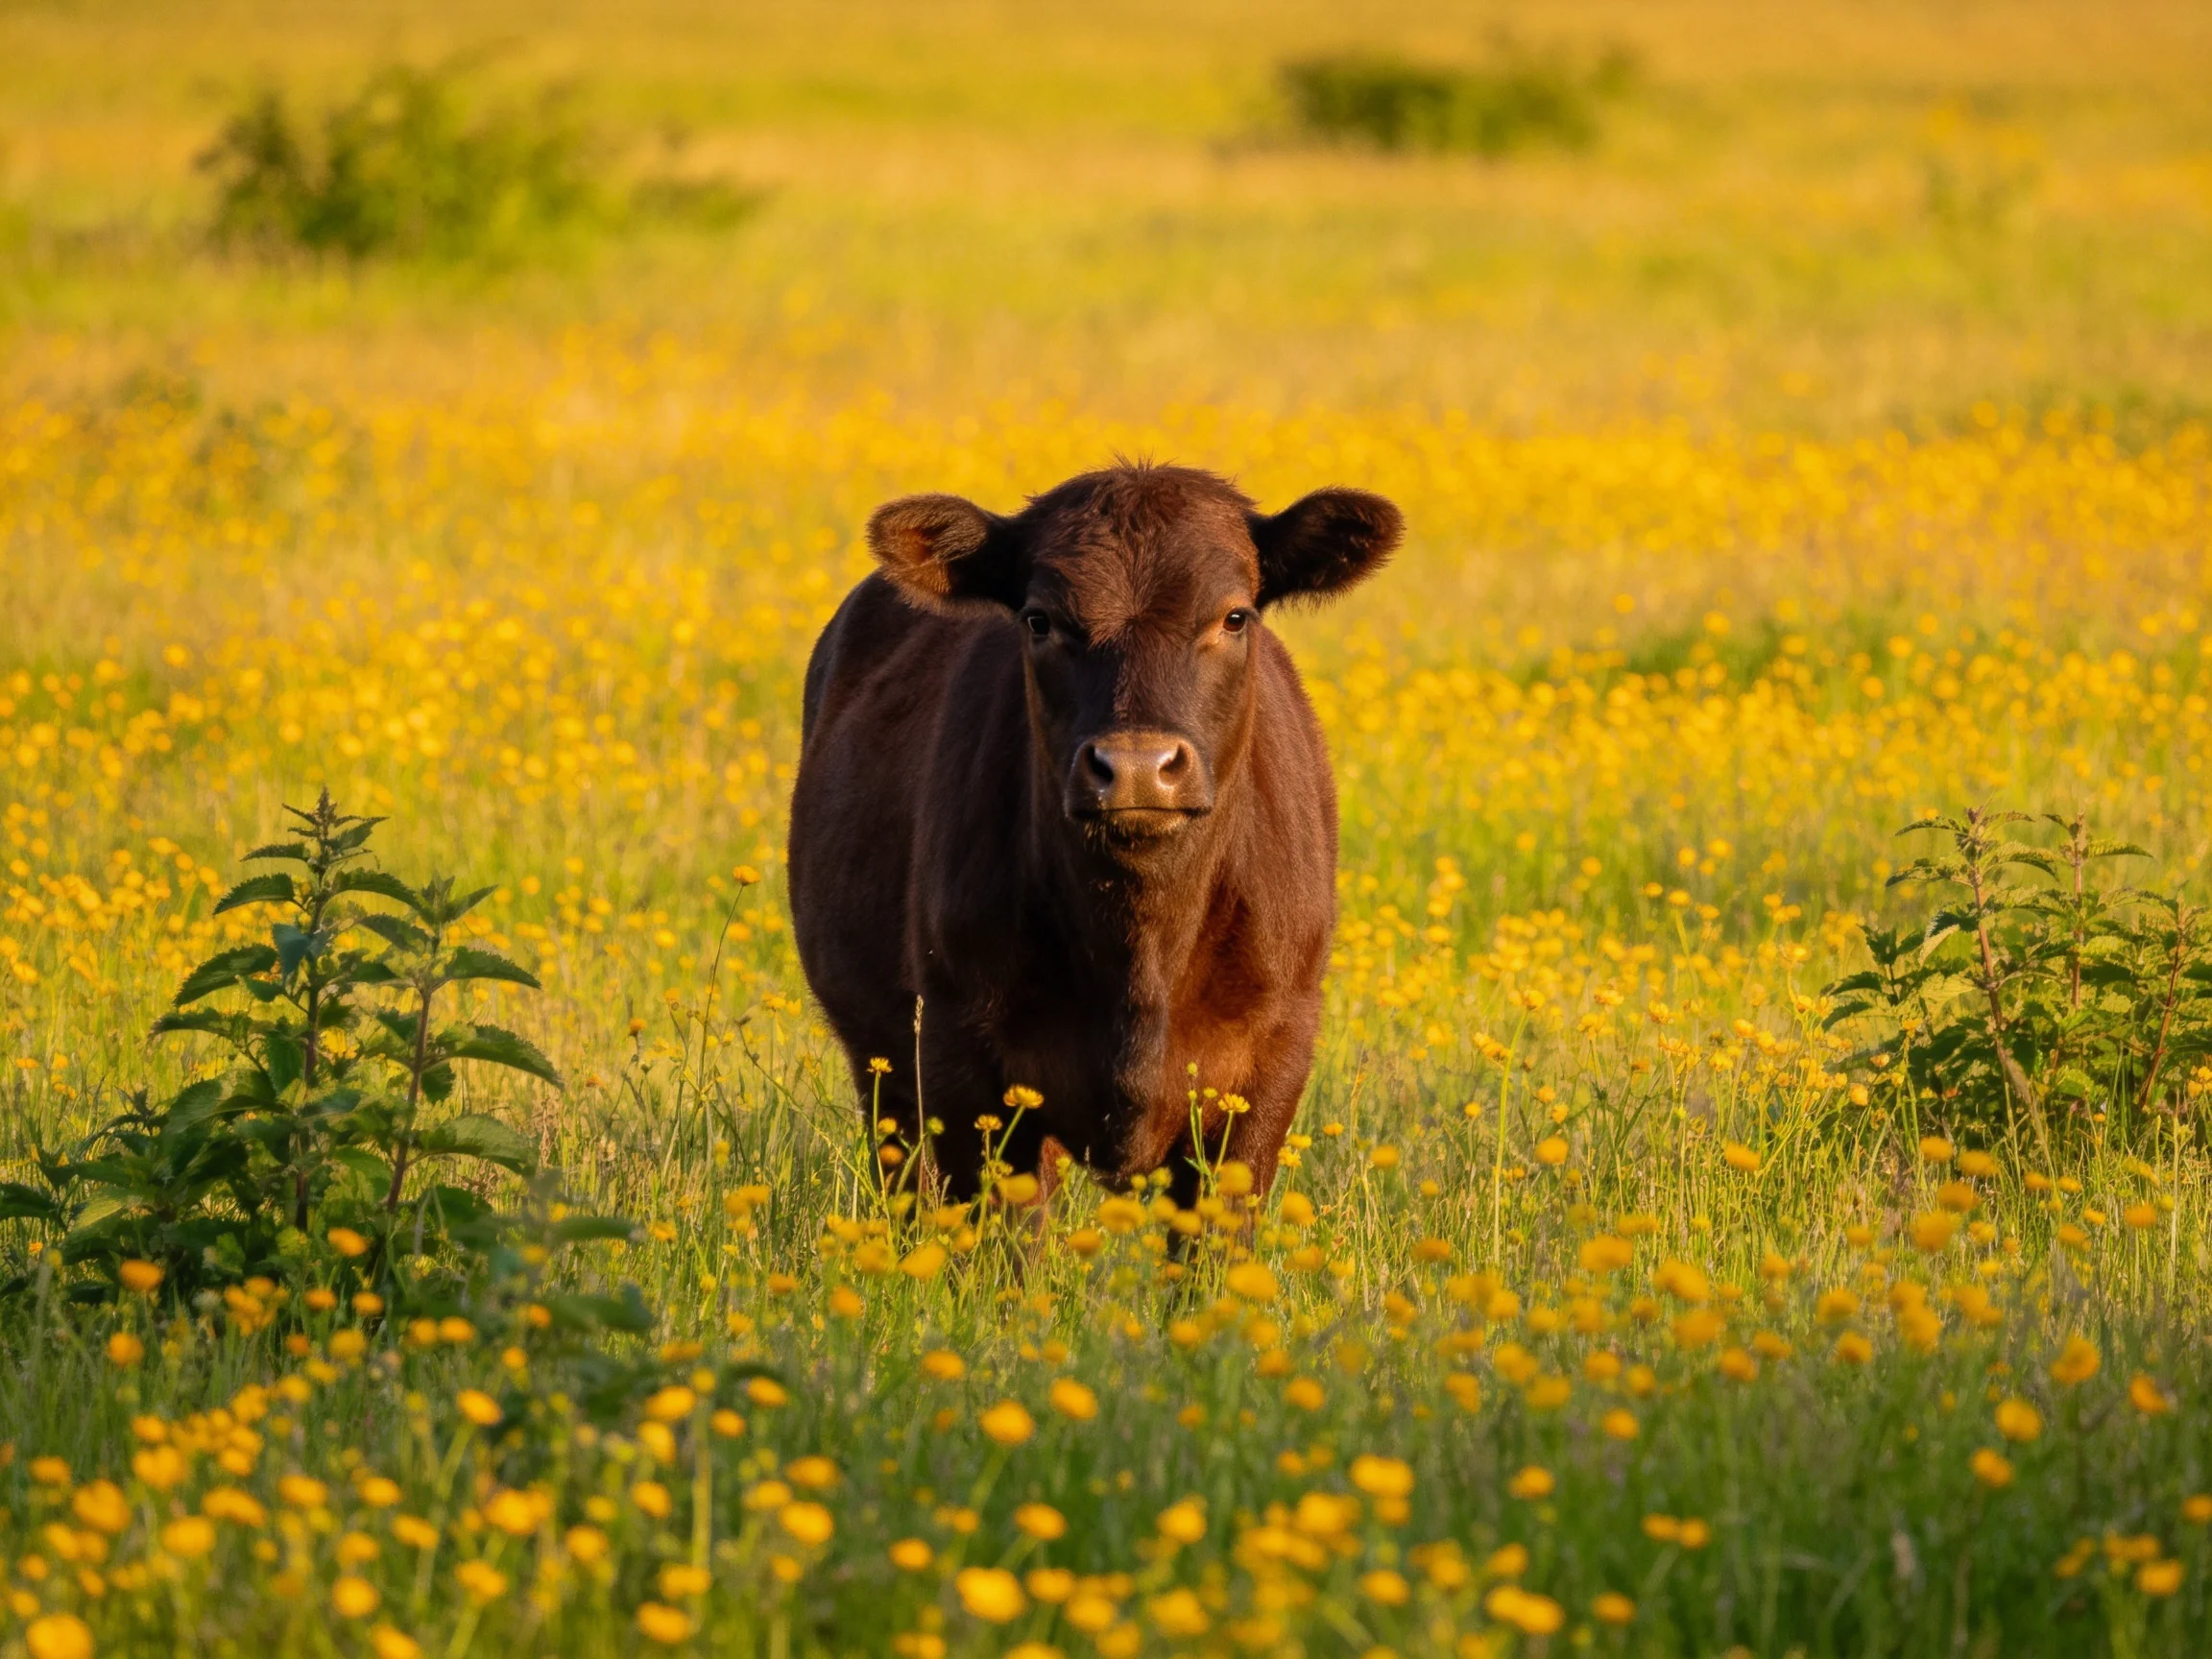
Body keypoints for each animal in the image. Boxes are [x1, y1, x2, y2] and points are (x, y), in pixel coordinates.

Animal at [787, 462, 1400, 1211]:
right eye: (1039, 620)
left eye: (1234, 615)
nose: (1137, 767)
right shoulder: (961, 1059)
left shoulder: (1272, 1061)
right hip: (884, 1067)